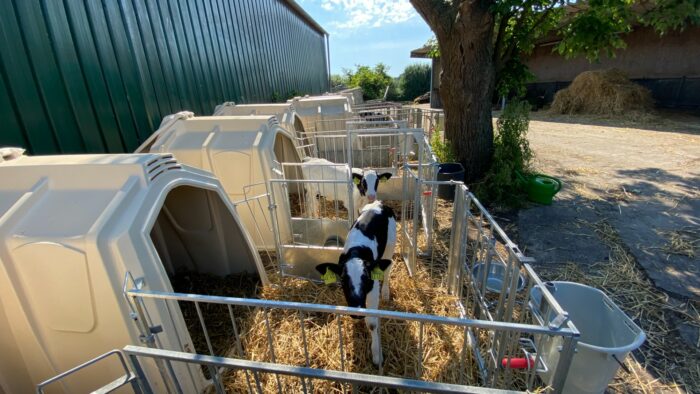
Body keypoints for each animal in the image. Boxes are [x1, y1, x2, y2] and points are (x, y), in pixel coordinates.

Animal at [314, 200, 396, 366]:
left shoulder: (373, 289)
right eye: (343, 280)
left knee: (387, 269)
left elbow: (372, 322)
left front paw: (377, 354)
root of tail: (379, 203)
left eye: (367, 279)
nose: (357, 310)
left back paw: (385, 292)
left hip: (390, 245)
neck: (356, 251)